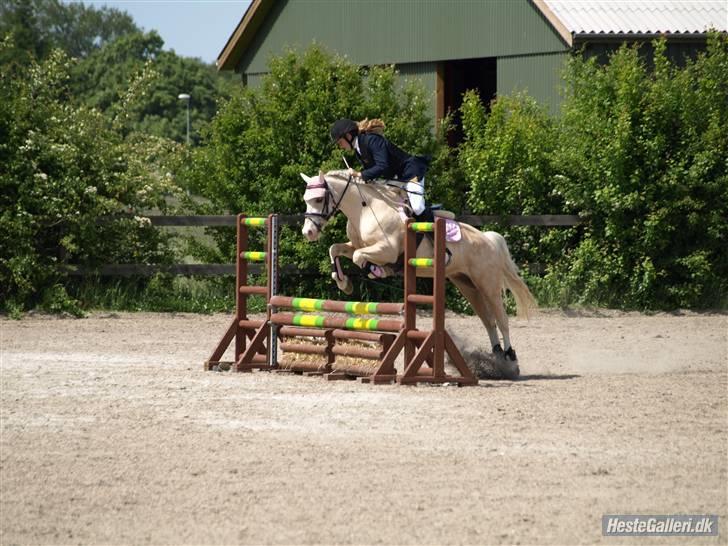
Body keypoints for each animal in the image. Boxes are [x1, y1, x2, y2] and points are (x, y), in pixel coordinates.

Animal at [300, 168, 536, 368]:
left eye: (319, 199)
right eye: (306, 200)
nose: (308, 233)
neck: (365, 208)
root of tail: (489, 239)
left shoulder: (386, 250)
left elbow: (360, 258)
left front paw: (379, 271)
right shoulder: (356, 246)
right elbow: (335, 249)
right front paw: (344, 283)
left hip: (487, 283)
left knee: (501, 319)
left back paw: (510, 358)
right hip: (467, 284)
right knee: (488, 320)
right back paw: (496, 356)